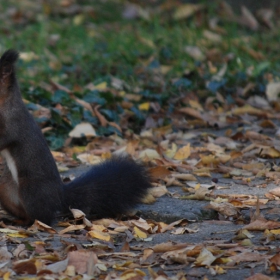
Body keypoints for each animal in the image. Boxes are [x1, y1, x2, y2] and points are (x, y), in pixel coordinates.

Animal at [0, 49, 151, 225]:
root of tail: (60, 197)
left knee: (43, 216)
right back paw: (13, 221)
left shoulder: (14, 123)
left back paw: (32, 224)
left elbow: (6, 138)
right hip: (5, 189)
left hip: (31, 190)